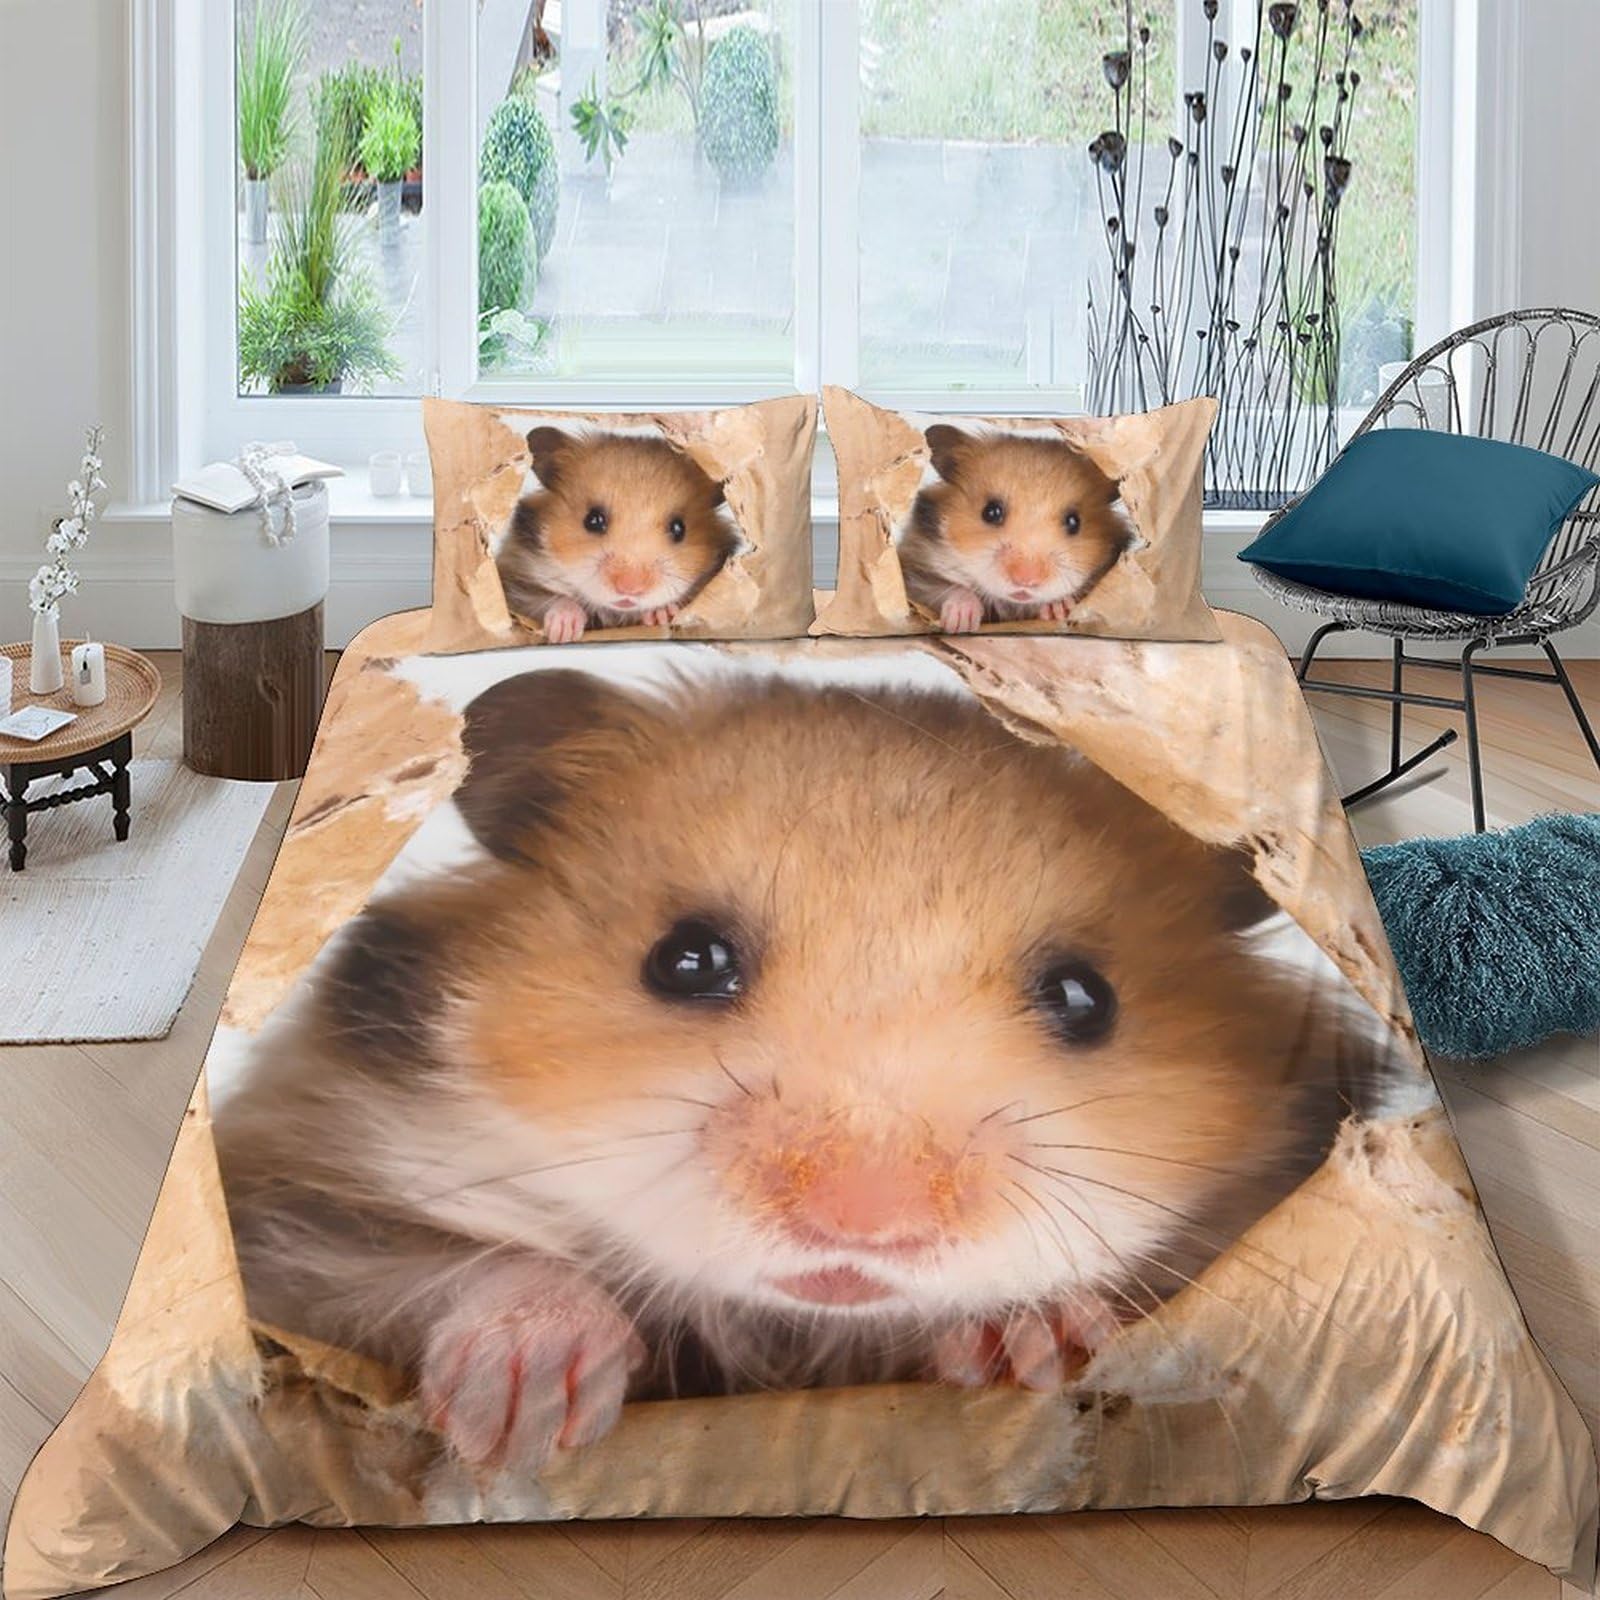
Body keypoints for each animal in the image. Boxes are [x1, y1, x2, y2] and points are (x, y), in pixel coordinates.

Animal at [215, 665, 1383, 1475]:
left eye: (1085, 998)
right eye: (684, 959)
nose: (860, 1223)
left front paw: (1028, 1337)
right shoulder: (287, 1206)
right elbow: (460, 1263)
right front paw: (526, 1419)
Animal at [495, 428, 740, 643]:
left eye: (679, 528)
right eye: (593, 520)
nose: (629, 589)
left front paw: (660, 614)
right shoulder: (515, 583)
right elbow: (550, 599)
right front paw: (564, 631)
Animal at [899, 426, 1135, 633]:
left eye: (1073, 522)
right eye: (991, 512)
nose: (1026, 581)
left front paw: (1057, 608)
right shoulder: (914, 573)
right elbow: (947, 589)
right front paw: (961, 621)